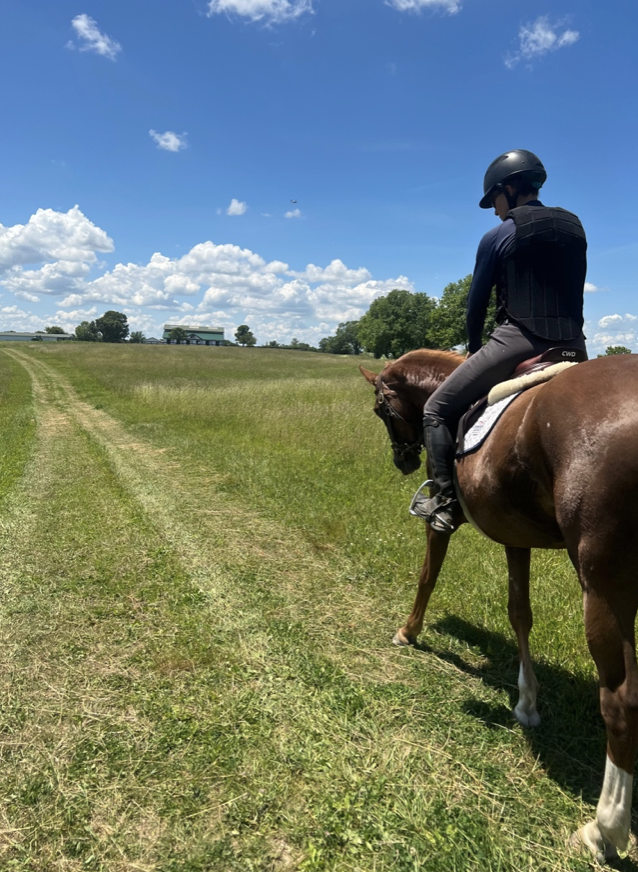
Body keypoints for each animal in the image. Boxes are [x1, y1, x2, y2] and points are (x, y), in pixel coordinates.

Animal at [362, 350, 638, 864]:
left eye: (380, 409)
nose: (402, 461)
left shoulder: (443, 518)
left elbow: (428, 575)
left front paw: (408, 632)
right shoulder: (515, 536)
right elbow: (519, 613)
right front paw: (526, 702)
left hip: (605, 581)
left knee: (620, 698)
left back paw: (604, 830)